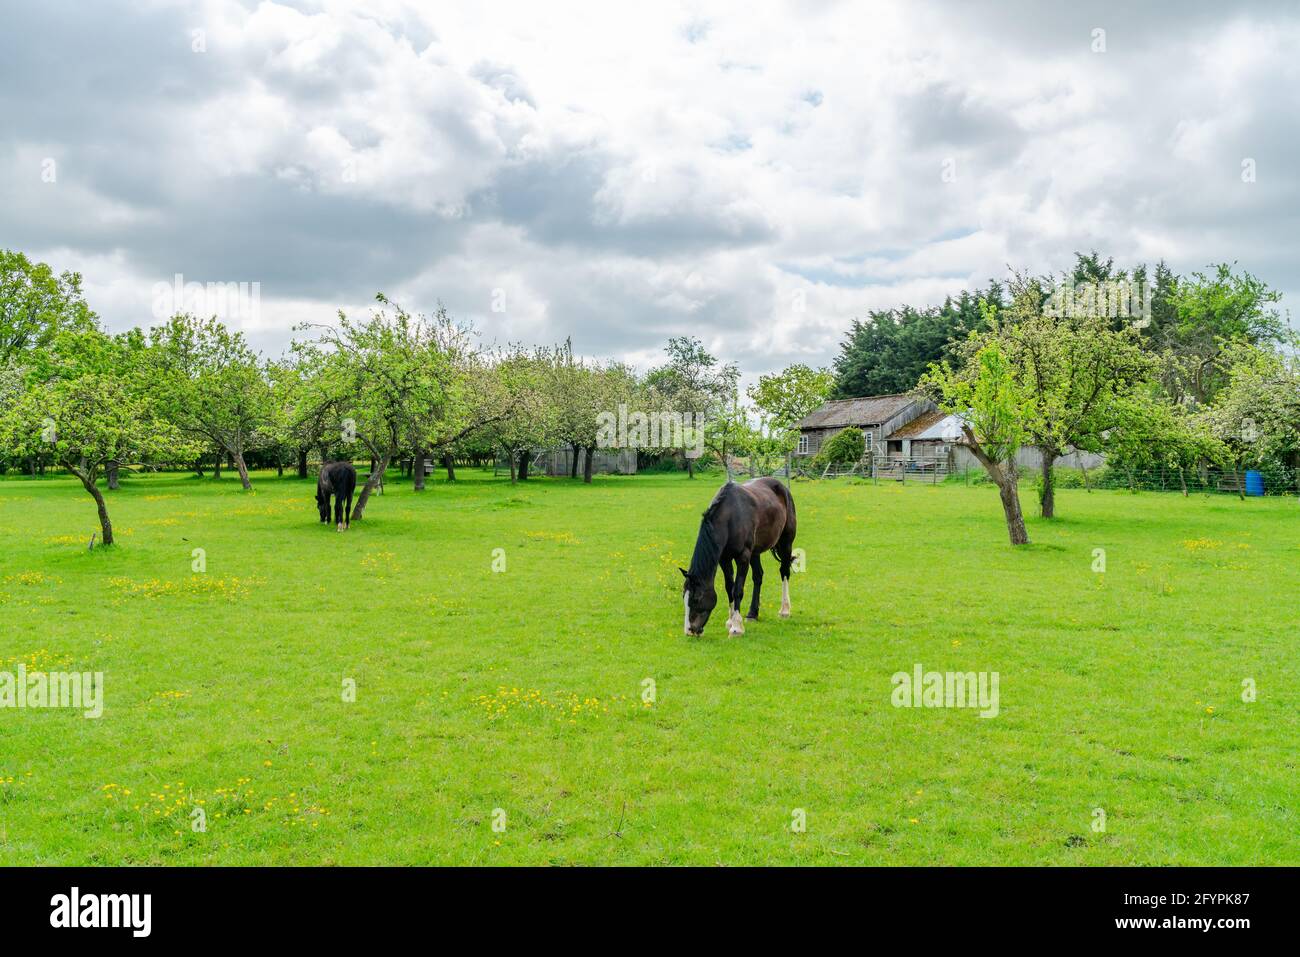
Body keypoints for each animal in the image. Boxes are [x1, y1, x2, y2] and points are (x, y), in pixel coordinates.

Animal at [680, 477, 797, 637]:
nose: (689, 631)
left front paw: (736, 628)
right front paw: (730, 621)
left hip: (786, 542)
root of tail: (783, 487)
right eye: (684, 597)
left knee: (784, 572)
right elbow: (729, 587)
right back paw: (752, 614)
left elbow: (737, 590)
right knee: (758, 576)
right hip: (755, 551)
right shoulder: (724, 559)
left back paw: (784, 610)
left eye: (696, 599)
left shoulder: (743, 557)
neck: (730, 517)